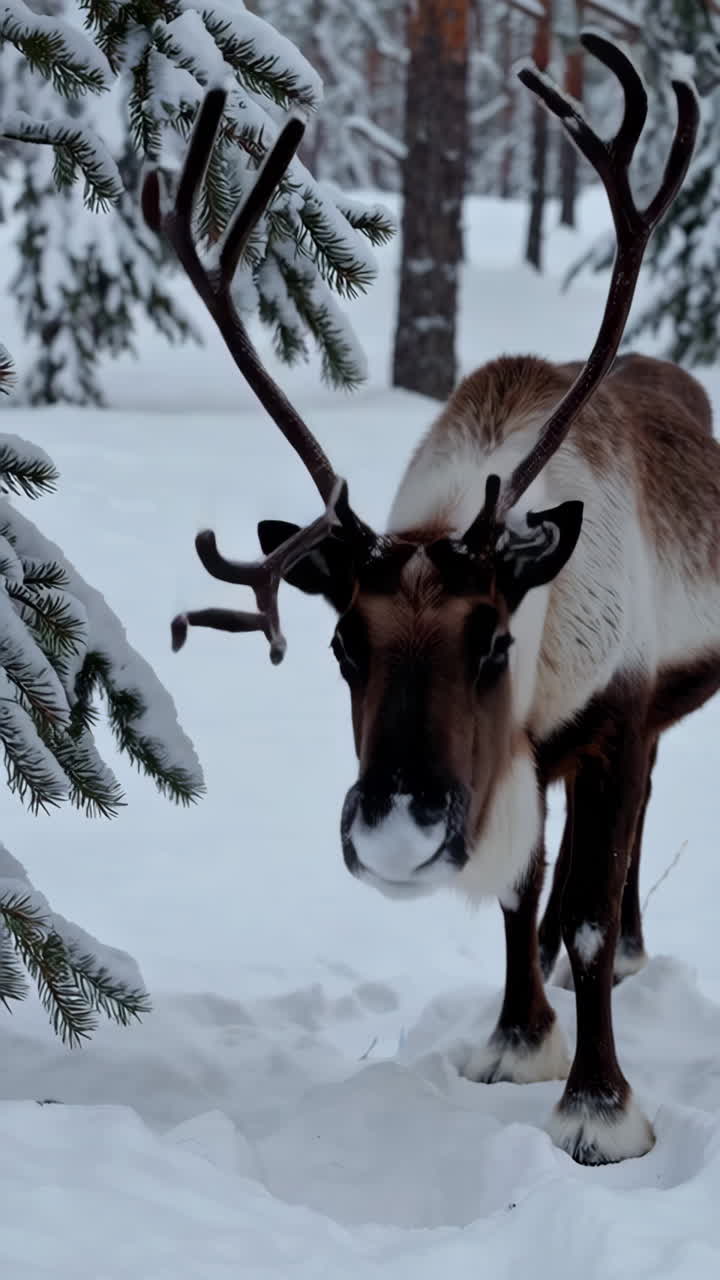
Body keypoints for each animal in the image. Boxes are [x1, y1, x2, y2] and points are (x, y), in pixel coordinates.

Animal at [143, 32, 711, 1166]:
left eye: (493, 638)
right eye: (340, 646)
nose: (395, 829)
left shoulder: (613, 718)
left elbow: (583, 915)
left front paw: (601, 1106)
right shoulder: (514, 760)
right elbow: (518, 894)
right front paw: (517, 1035)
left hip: (649, 719)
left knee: (622, 854)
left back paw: (629, 950)